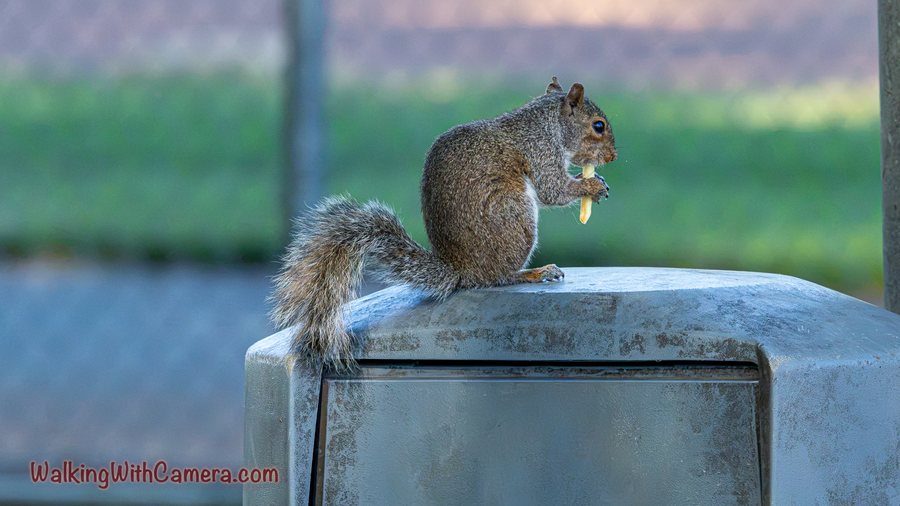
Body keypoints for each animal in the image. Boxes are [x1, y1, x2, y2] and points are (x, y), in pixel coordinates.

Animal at [271, 77, 618, 367]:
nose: (613, 157)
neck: (547, 123)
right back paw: (532, 273)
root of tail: (461, 271)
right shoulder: (541, 152)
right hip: (514, 217)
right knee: (497, 278)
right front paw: (591, 186)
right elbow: (552, 190)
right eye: (598, 125)